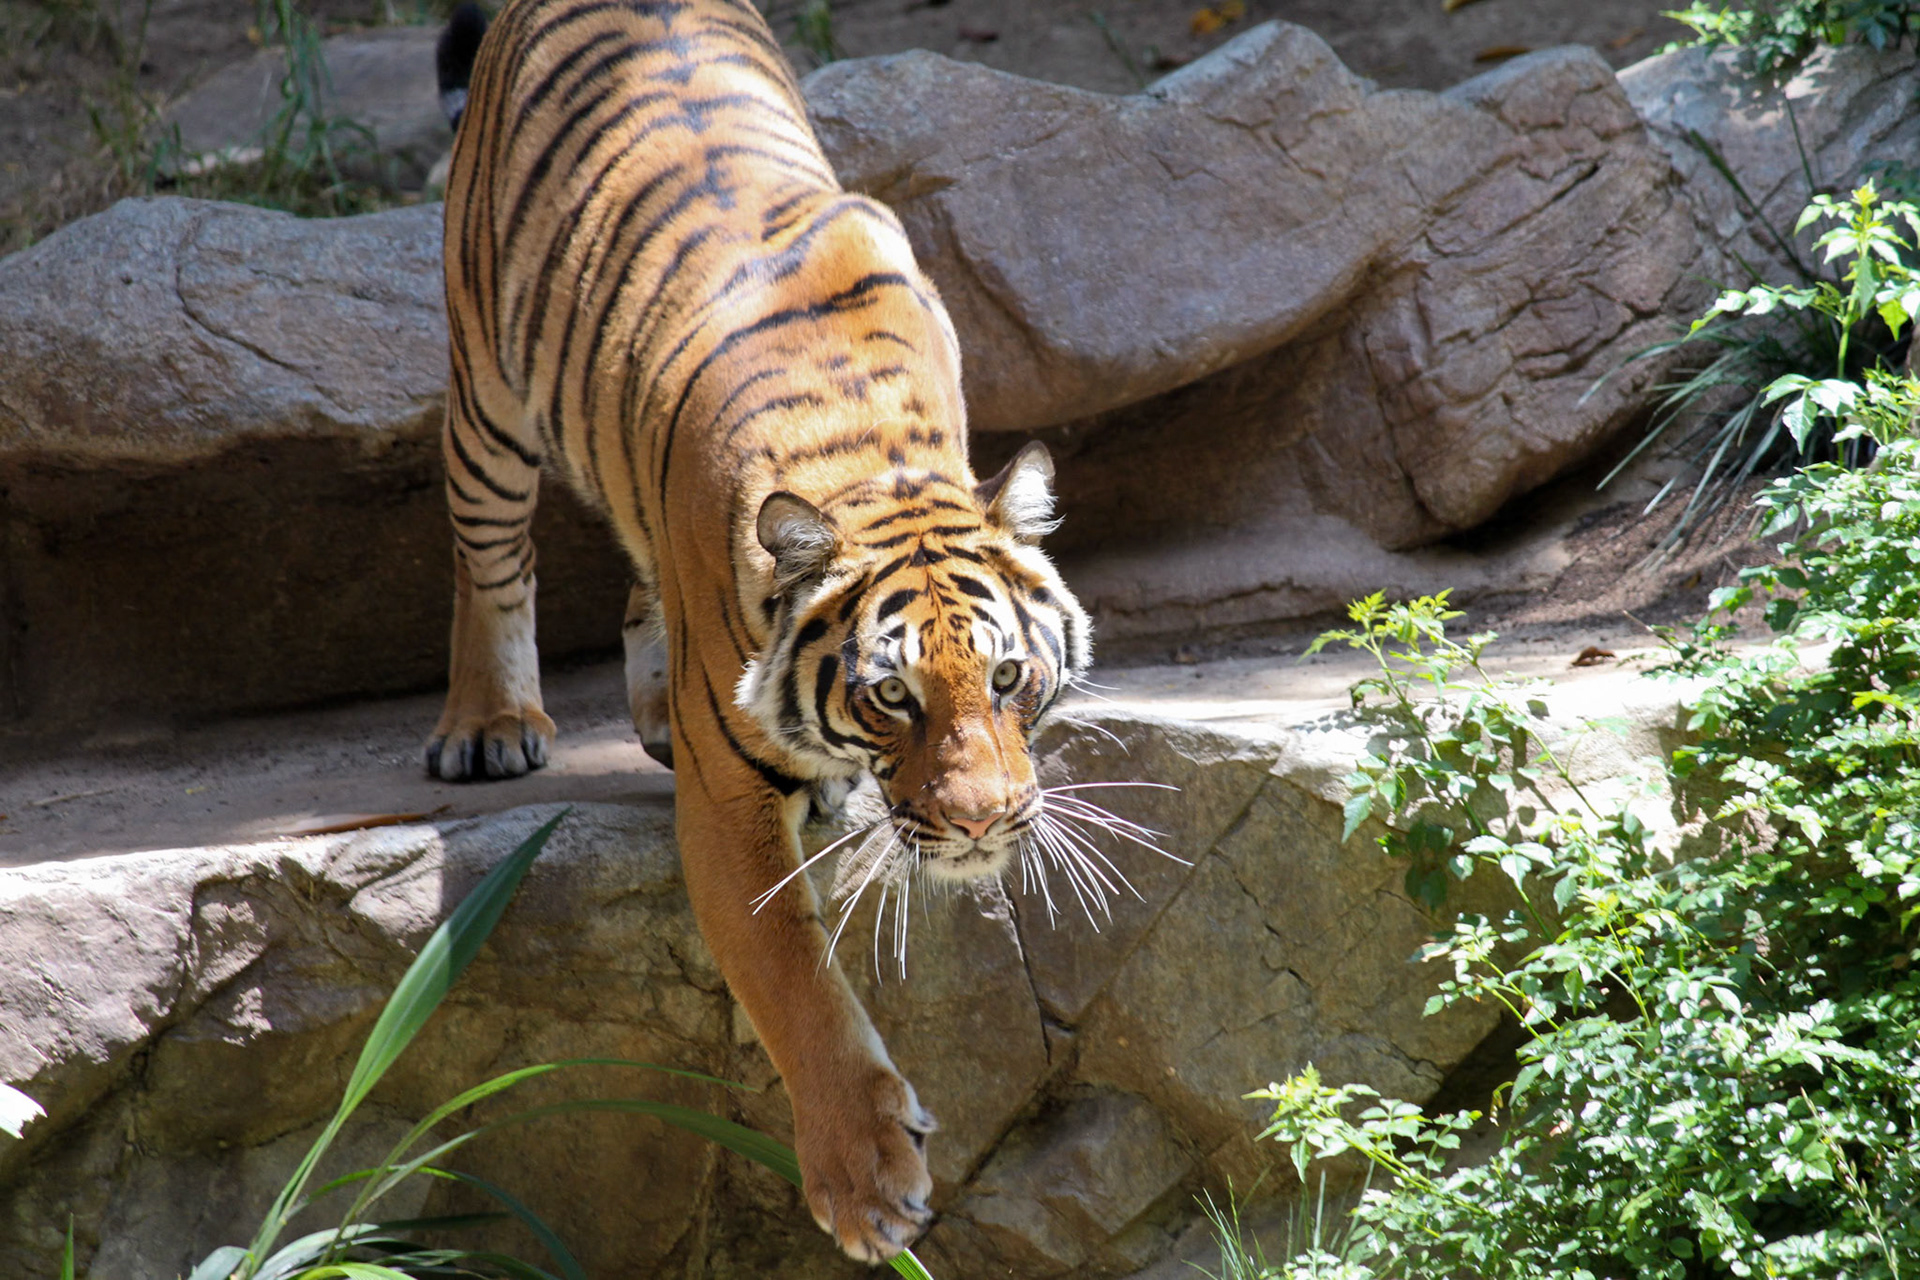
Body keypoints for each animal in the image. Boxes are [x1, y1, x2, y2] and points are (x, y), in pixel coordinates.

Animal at [426, 0, 1092, 1261]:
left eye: (1010, 678)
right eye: (893, 694)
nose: (985, 822)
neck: (877, 458)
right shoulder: (726, 791)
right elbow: (791, 975)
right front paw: (868, 1183)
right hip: (487, 383)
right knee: (490, 553)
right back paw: (489, 722)